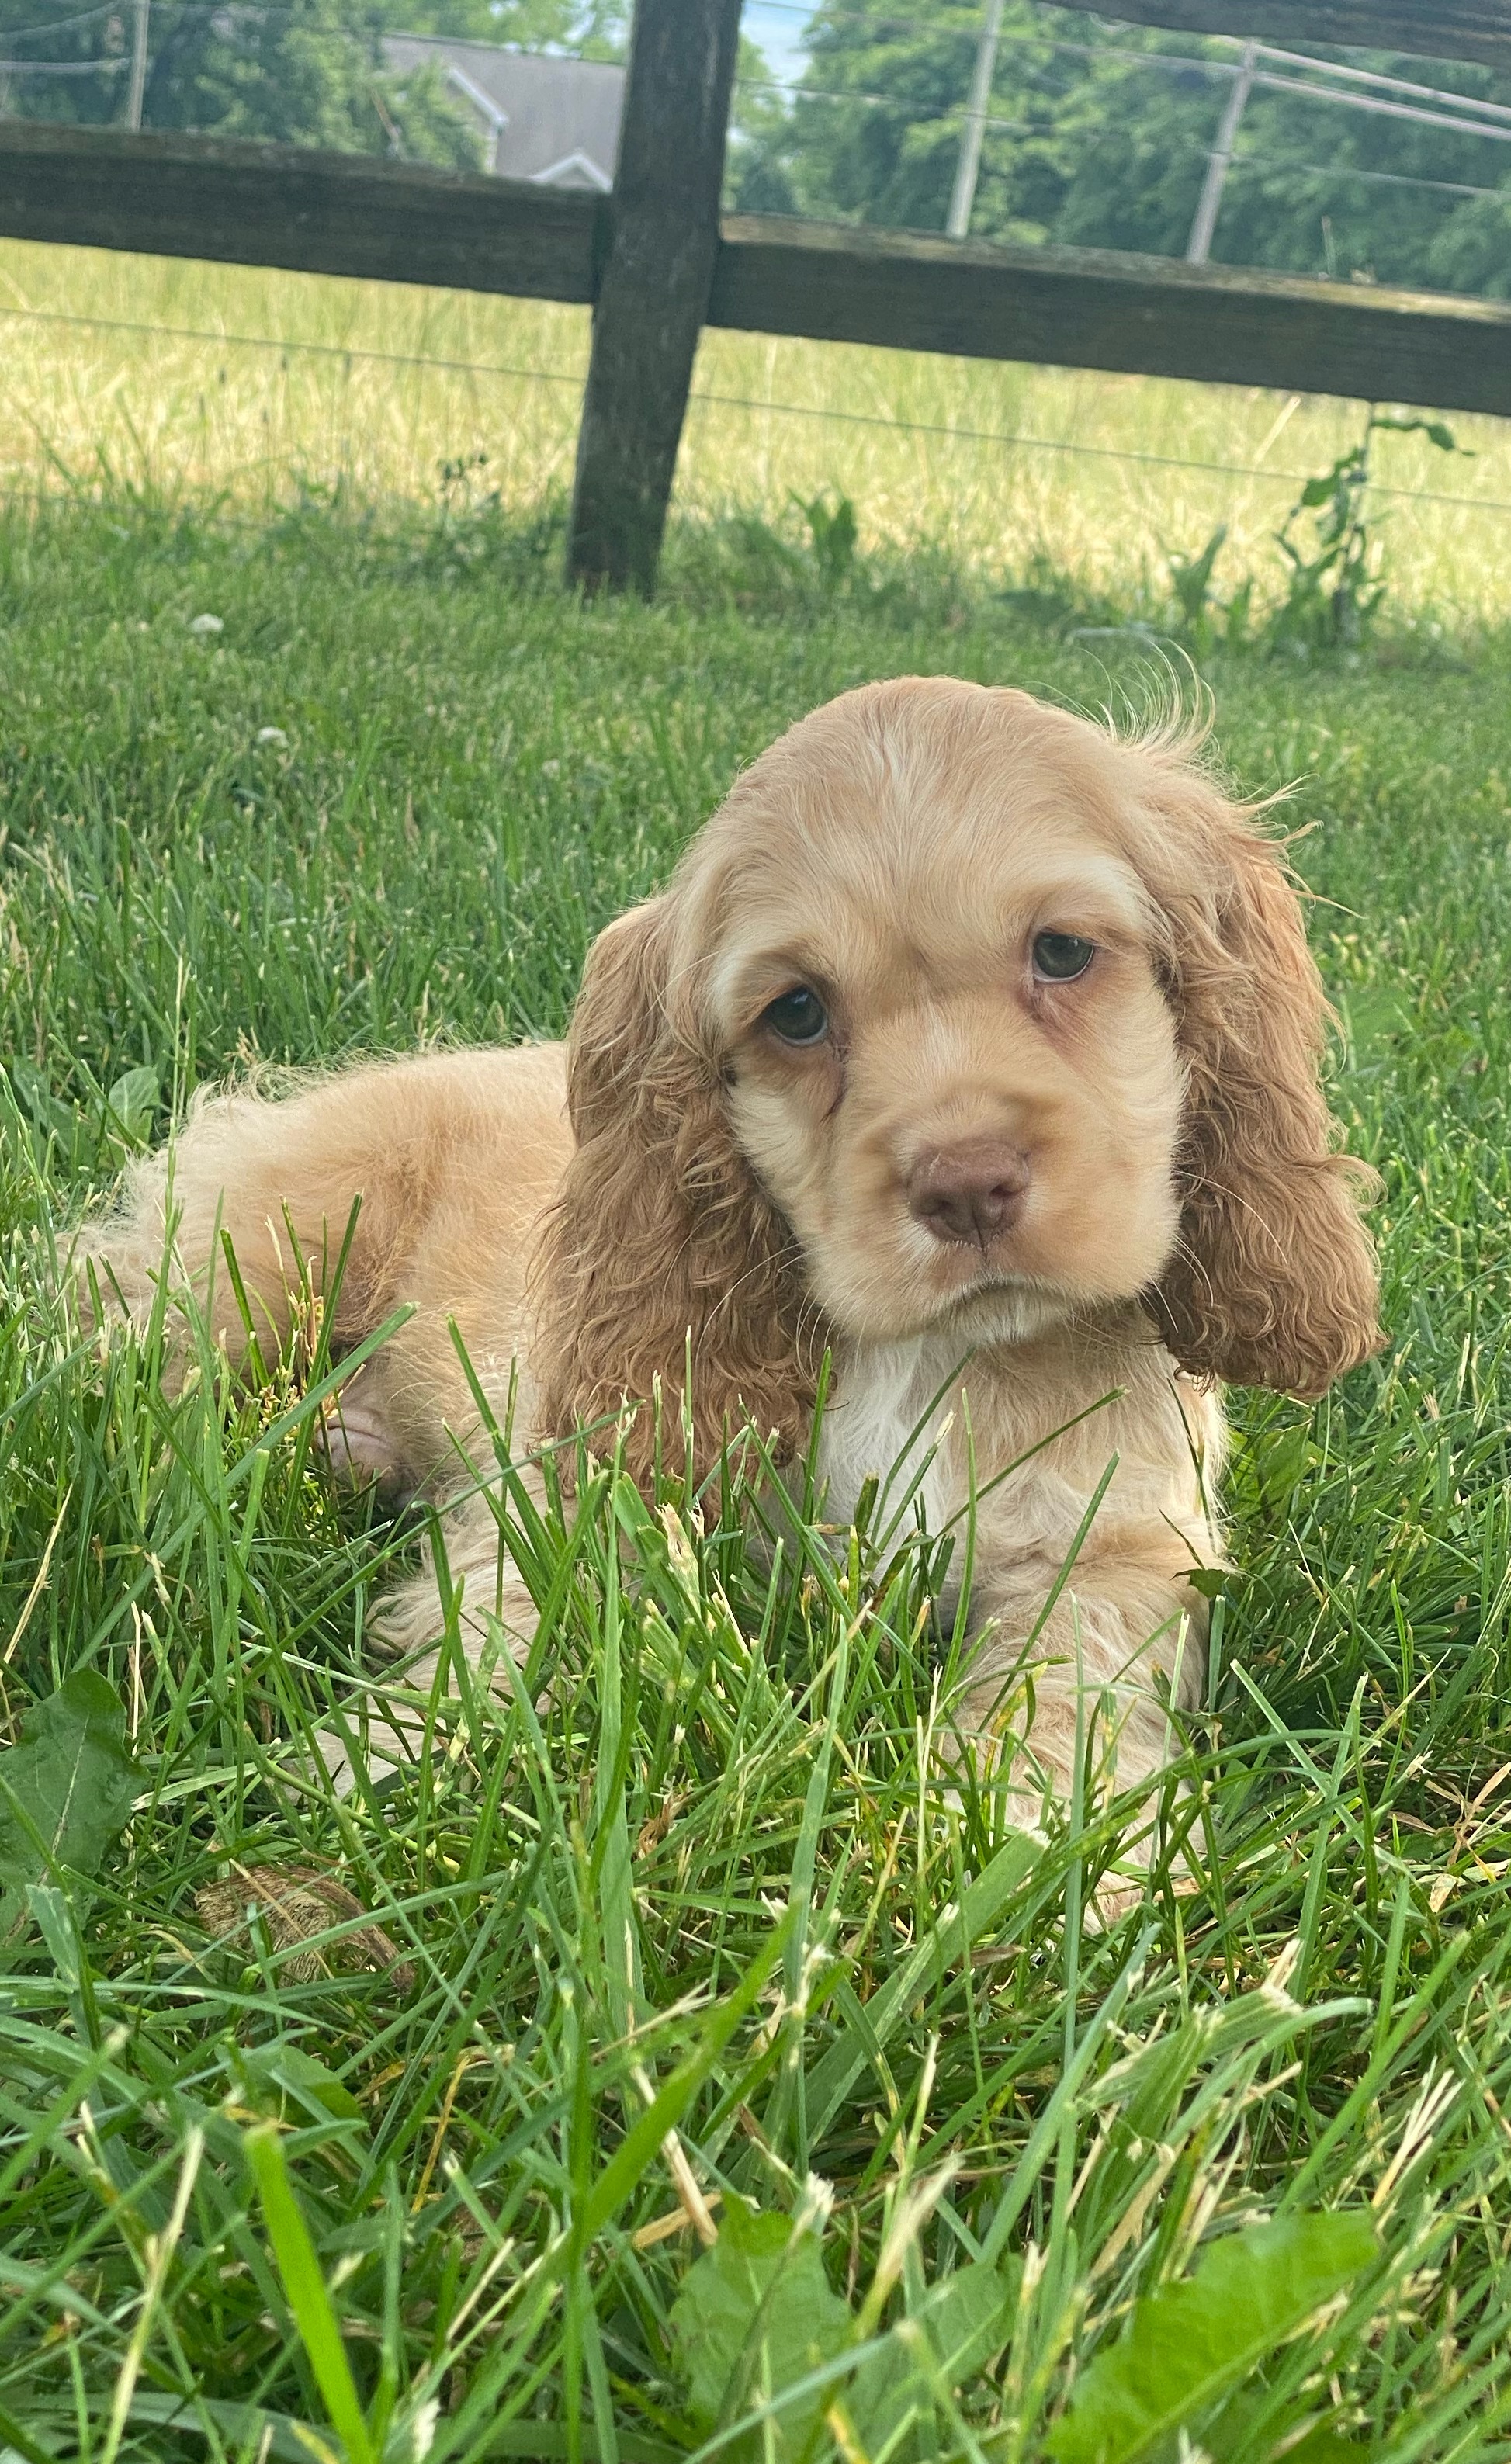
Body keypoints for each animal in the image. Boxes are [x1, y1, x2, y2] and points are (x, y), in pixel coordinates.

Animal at [79, 674, 1380, 1833]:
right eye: (796, 1011)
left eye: (1061, 951)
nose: (962, 1181)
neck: (928, 1355)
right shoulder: (598, 1475)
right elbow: (522, 1616)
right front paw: (371, 1763)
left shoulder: (1121, 1549)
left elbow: (1071, 1685)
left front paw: (1033, 1844)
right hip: (273, 1244)